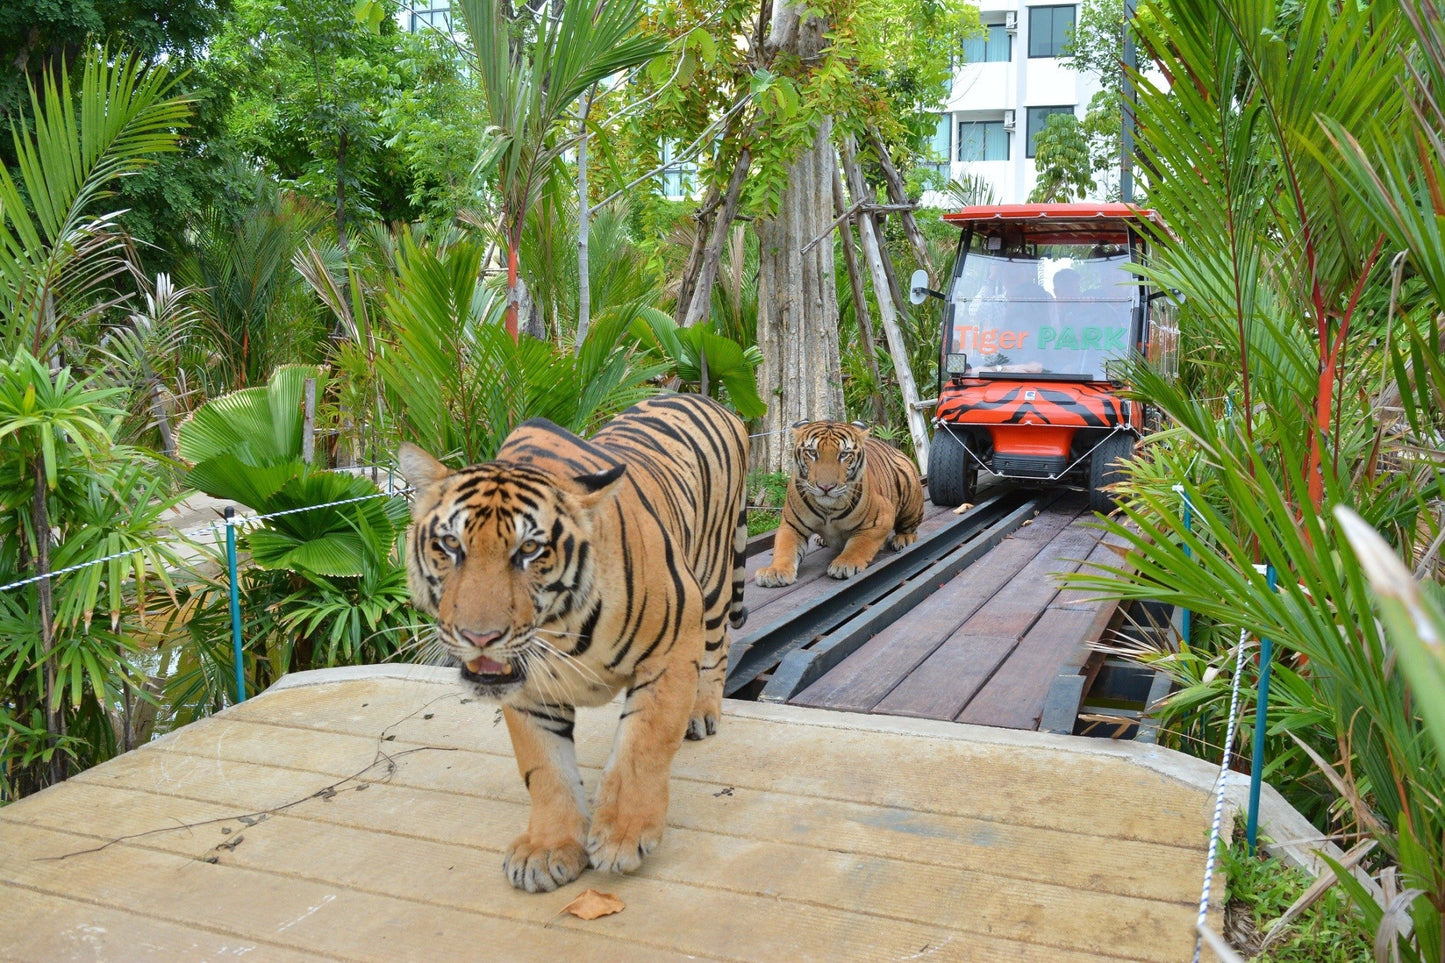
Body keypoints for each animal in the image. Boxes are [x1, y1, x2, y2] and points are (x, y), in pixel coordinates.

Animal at [397, 393, 749, 894]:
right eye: (449, 544)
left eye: (529, 550)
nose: (479, 637)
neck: (561, 632)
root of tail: (702, 396)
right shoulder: (526, 690)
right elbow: (546, 770)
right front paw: (547, 849)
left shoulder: (674, 647)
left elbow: (643, 745)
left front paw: (622, 837)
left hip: (714, 579)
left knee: (720, 645)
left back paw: (701, 714)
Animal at [755, 420, 925, 586]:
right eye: (812, 452)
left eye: (844, 454)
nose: (826, 487)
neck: (827, 509)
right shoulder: (792, 525)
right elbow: (784, 548)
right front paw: (775, 571)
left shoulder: (881, 518)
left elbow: (859, 544)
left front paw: (845, 564)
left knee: (909, 526)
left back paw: (904, 538)